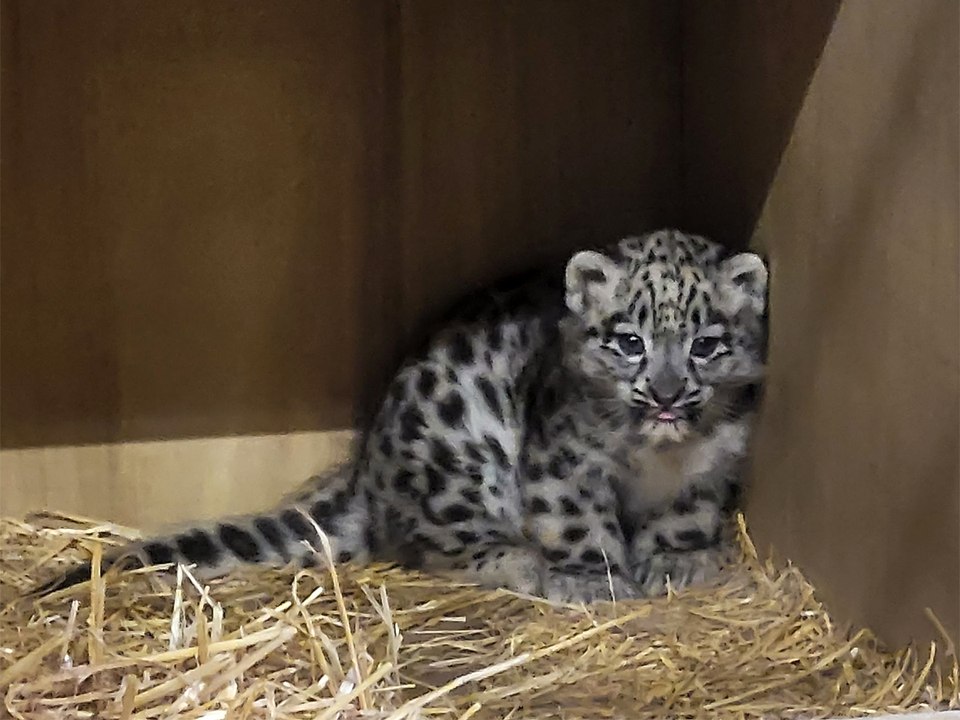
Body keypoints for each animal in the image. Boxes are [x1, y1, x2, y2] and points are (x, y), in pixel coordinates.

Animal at [33, 229, 768, 604]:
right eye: (629, 340)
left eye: (705, 343)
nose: (667, 396)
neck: (656, 457)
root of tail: (368, 478)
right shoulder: (565, 464)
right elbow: (579, 525)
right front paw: (594, 580)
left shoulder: (714, 463)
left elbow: (684, 518)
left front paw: (676, 562)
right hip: (461, 466)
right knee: (436, 545)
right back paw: (518, 562)